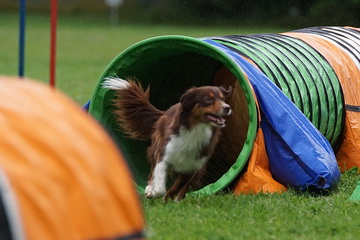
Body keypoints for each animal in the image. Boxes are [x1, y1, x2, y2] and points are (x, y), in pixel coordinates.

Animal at [102, 77, 232, 201]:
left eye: (223, 99)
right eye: (208, 100)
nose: (227, 107)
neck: (196, 129)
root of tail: (166, 111)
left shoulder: (193, 166)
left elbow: (177, 187)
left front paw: (168, 199)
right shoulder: (164, 154)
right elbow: (160, 185)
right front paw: (154, 192)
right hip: (156, 146)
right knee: (152, 170)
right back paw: (149, 188)